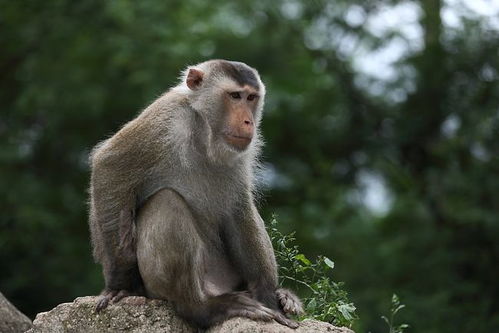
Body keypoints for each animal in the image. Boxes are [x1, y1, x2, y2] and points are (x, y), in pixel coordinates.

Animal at [88, 59, 302, 326]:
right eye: (235, 96)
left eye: (251, 97)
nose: (248, 122)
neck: (203, 129)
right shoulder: (165, 119)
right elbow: (109, 167)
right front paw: (122, 284)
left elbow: (238, 206)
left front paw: (268, 295)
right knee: (166, 200)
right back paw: (201, 307)